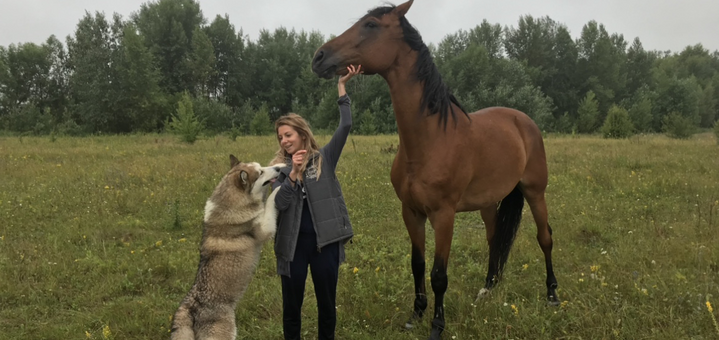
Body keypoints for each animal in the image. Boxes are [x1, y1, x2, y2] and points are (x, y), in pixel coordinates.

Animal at [173, 155, 286, 338]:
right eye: (260, 173)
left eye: (261, 166)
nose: (278, 169)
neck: (232, 204)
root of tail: (190, 311)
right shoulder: (264, 229)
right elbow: (270, 201)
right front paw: (280, 188)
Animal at [312, 1, 560, 338]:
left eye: (371, 25)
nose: (319, 57)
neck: (430, 140)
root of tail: (524, 121)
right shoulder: (411, 211)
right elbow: (417, 264)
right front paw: (415, 314)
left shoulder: (443, 216)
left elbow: (439, 273)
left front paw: (436, 325)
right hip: (488, 203)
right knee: (495, 239)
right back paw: (487, 289)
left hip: (535, 191)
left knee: (544, 237)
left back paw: (552, 295)